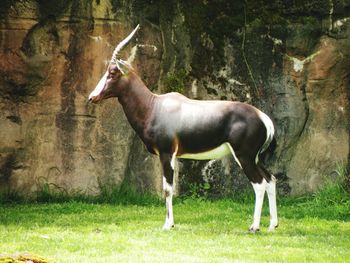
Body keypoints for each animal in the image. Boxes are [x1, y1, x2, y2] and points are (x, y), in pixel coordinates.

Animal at [89, 25, 278, 233]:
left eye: (112, 73)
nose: (92, 97)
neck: (154, 105)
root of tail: (263, 117)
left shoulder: (166, 154)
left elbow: (167, 189)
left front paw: (167, 225)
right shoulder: (168, 155)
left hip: (244, 156)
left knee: (259, 184)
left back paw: (254, 227)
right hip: (256, 158)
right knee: (271, 180)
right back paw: (272, 225)